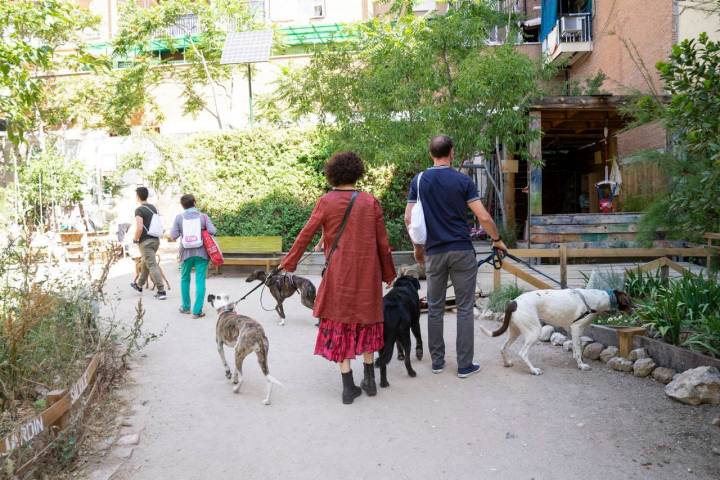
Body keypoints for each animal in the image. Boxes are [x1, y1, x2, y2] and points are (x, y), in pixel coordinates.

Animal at [480, 288, 632, 376]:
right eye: (628, 301)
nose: (634, 311)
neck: (597, 298)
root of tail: (513, 302)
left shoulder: (570, 329)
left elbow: (576, 348)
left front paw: (577, 360)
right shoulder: (577, 328)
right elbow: (578, 350)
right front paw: (581, 365)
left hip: (515, 331)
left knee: (503, 347)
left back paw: (507, 363)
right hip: (534, 331)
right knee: (522, 353)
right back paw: (533, 370)